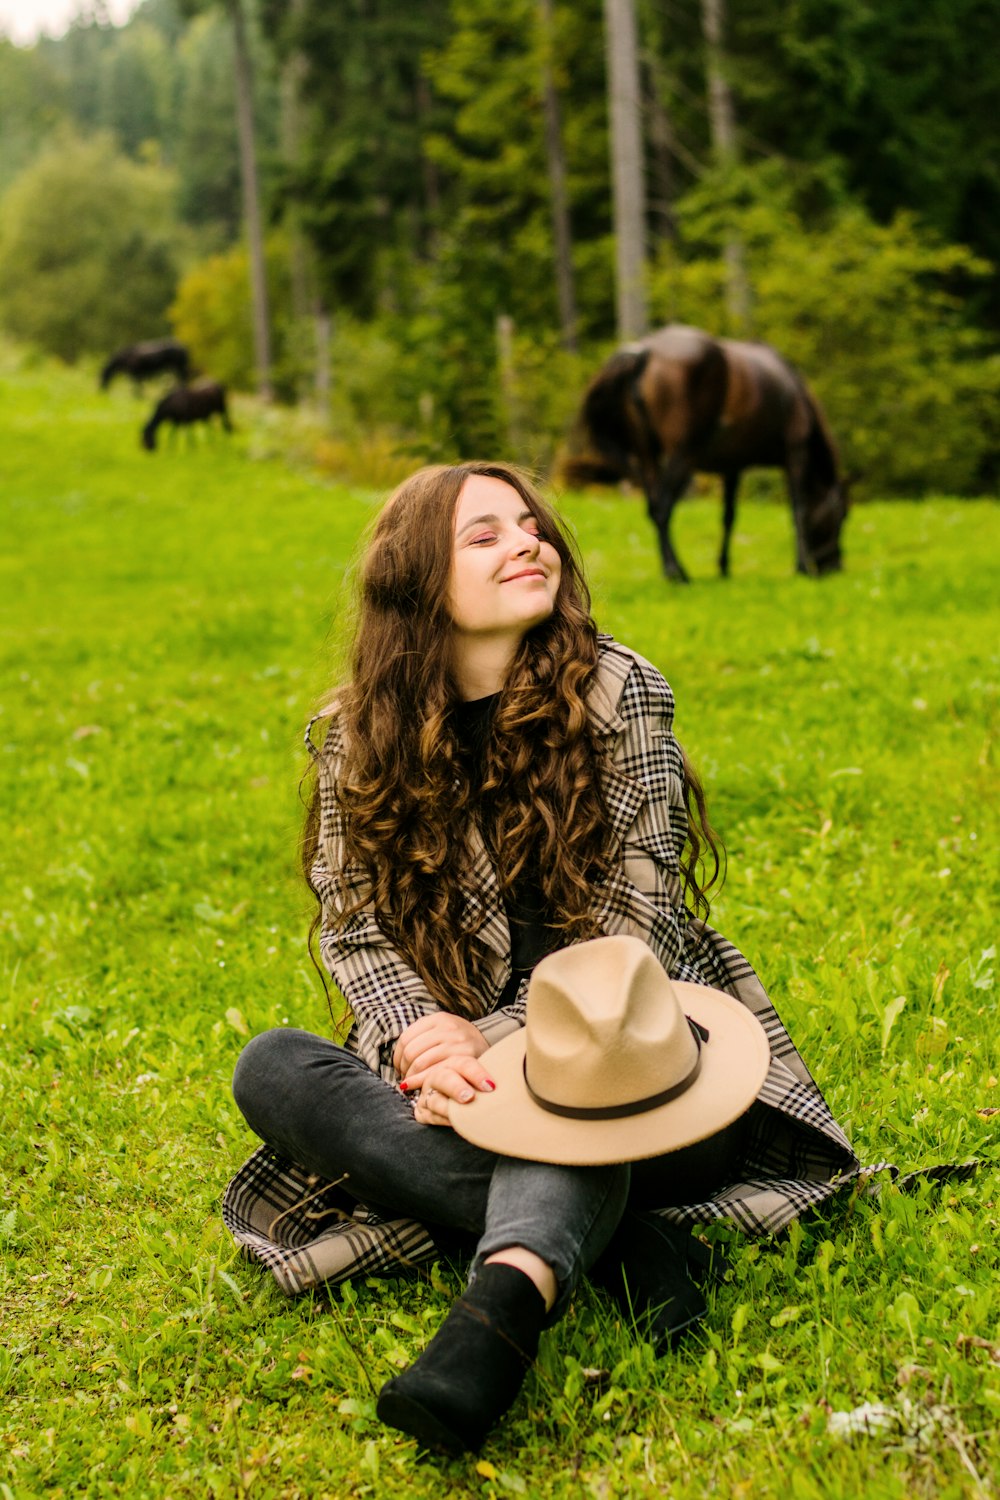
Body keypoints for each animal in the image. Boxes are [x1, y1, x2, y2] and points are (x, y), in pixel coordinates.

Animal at [566, 324, 851, 579]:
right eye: (842, 516)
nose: (834, 566)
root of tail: (644, 351)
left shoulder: (732, 466)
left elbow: (728, 516)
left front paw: (724, 567)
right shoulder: (796, 453)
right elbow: (798, 510)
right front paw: (802, 566)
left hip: (647, 454)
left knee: (654, 507)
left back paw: (674, 568)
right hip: (682, 454)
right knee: (663, 508)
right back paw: (676, 572)